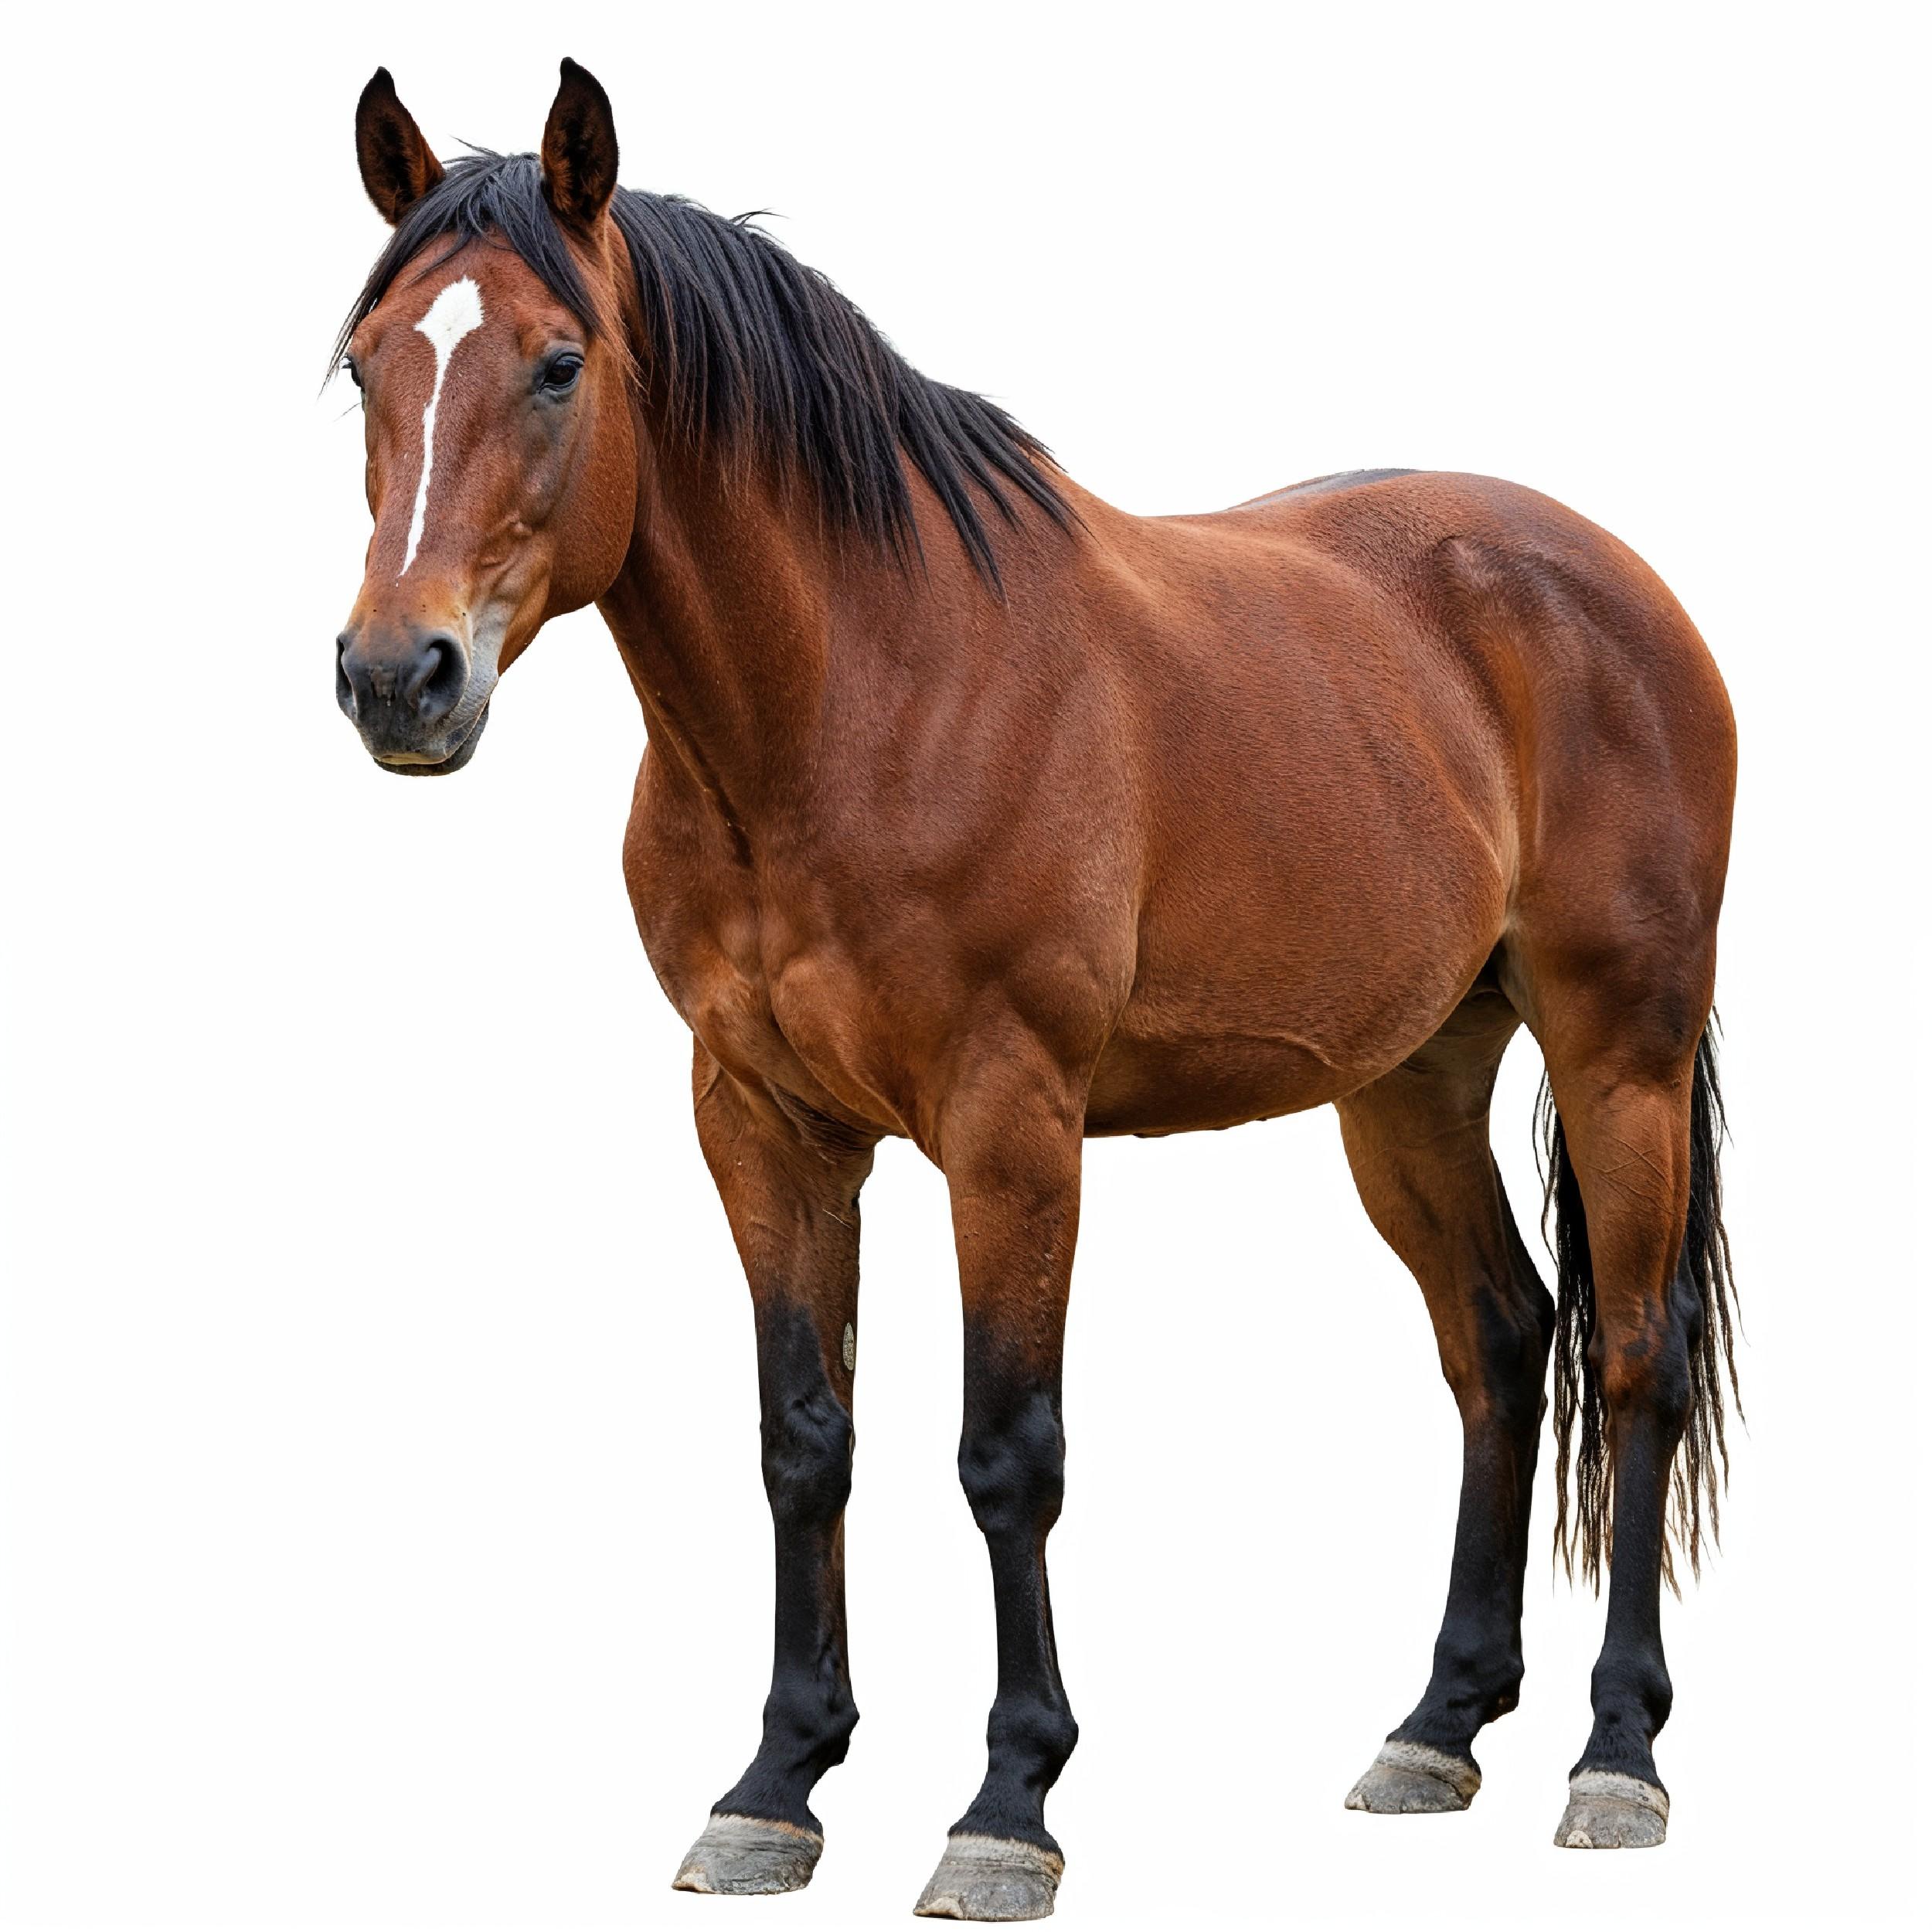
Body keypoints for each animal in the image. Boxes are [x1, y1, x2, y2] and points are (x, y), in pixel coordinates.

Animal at [329, 58, 1741, 1920]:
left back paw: (1616, 1756)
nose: (395, 678)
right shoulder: (759, 1122)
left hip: (1616, 1051)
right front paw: (774, 1785)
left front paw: (1007, 1803)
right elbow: (803, 1438)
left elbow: (1008, 1454)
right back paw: (1436, 1726)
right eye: (369, 363)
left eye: (559, 362)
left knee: (1635, 1356)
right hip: (1409, 1081)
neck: (857, 696)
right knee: (1501, 1341)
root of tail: (1605, 581)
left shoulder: (1010, 1125)